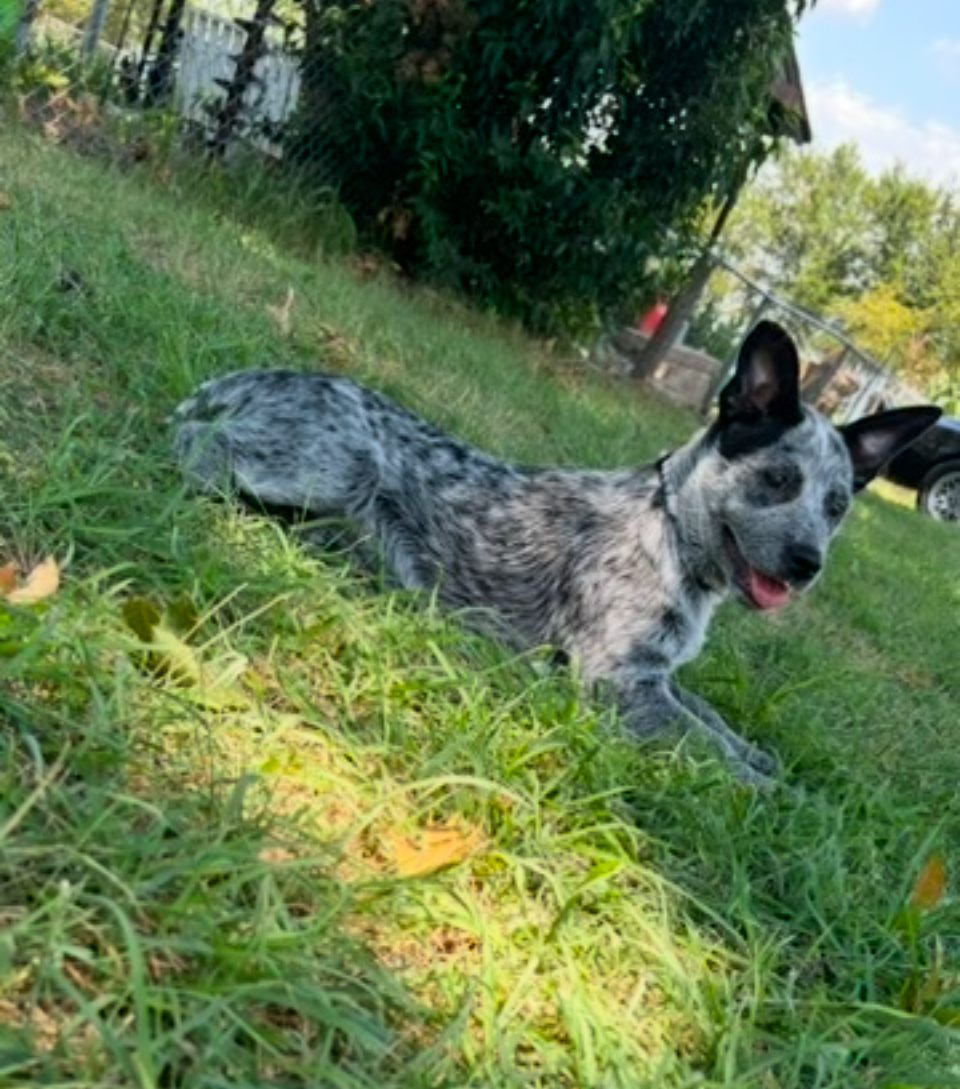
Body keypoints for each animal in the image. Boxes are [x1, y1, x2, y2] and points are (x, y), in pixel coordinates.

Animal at [172, 321, 940, 786]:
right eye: (779, 480)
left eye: (836, 507)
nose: (809, 564)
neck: (668, 530)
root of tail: (254, 378)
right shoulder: (619, 683)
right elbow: (705, 746)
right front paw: (769, 789)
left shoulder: (657, 674)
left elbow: (714, 718)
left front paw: (758, 754)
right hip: (345, 464)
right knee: (201, 453)